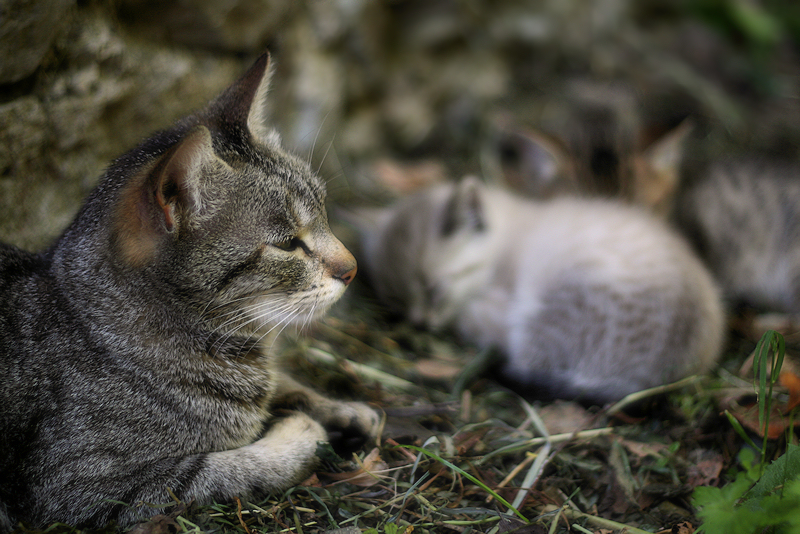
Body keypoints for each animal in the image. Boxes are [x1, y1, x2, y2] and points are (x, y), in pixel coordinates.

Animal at [0, 53, 380, 532]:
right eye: (288, 243)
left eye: (325, 212)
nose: (352, 268)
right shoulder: (78, 489)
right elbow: (225, 468)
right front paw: (303, 432)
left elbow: (289, 385)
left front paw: (341, 409)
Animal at [354, 178, 724, 404]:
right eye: (395, 301)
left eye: (433, 290)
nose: (420, 323)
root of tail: (672, 375)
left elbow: (473, 317)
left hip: (545, 310)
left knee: (521, 361)